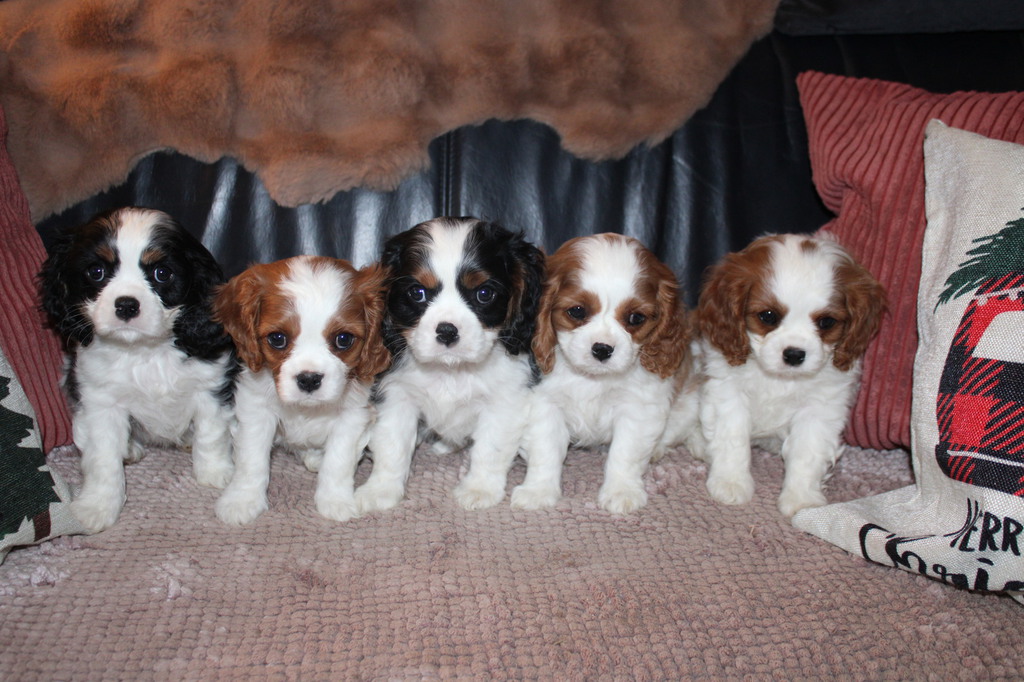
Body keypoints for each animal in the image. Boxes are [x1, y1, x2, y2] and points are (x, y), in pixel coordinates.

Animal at [38, 207, 236, 532]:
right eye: (96, 272)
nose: (127, 305)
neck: (144, 351)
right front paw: (98, 505)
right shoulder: (100, 401)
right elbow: (103, 456)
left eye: (161, 273)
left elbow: (212, 433)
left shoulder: (211, 386)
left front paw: (215, 473)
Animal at [212, 255, 390, 524]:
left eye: (343, 339)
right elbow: (251, 460)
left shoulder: (352, 416)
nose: (309, 379)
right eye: (277, 339)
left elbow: (338, 461)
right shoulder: (255, 409)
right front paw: (242, 500)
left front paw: (335, 502)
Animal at [354, 216, 545, 513]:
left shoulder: (504, 400)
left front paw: (479, 489)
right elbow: (392, 445)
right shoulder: (397, 396)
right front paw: (380, 490)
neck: (451, 369)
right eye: (417, 293)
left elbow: (490, 448)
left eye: (484, 293)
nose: (447, 331)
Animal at [512, 233, 691, 513]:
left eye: (636, 318)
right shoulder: (544, 404)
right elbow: (545, 450)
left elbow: (625, 452)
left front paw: (622, 491)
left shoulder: (637, 409)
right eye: (577, 311)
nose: (602, 349)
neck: (592, 378)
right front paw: (538, 491)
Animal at [693, 232, 886, 517]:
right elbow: (733, 439)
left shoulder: (820, 408)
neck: (780, 379)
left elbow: (807, 451)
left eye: (826, 322)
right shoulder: (728, 392)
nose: (794, 354)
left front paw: (801, 498)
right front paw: (730, 482)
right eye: (768, 316)